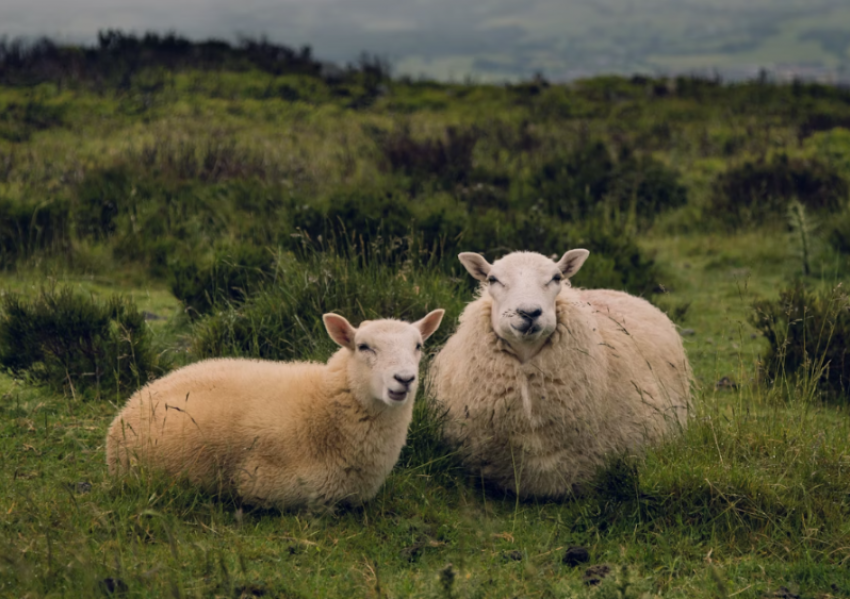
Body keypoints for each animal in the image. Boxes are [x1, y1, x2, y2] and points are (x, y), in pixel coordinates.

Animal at [106, 312, 444, 512]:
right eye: (363, 347)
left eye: (418, 346)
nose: (404, 379)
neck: (325, 407)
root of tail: (132, 402)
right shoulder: (270, 487)